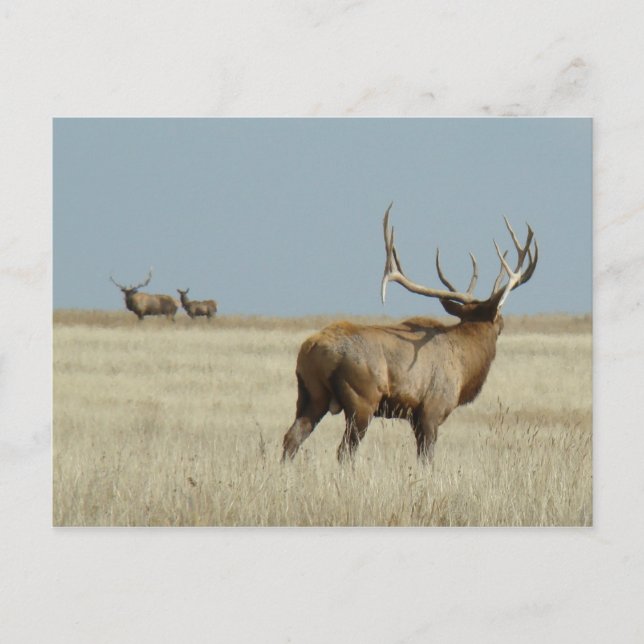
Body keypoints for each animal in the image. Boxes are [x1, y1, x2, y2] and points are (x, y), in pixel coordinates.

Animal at [281, 203, 538, 464]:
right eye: (499, 320)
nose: (503, 322)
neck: (465, 363)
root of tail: (312, 349)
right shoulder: (431, 409)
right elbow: (426, 458)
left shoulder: (416, 416)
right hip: (362, 399)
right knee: (344, 450)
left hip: (311, 393)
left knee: (292, 437)